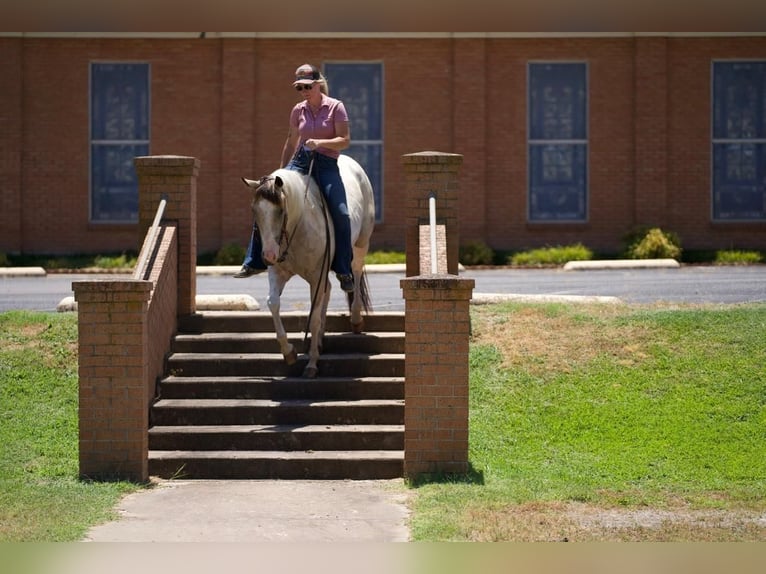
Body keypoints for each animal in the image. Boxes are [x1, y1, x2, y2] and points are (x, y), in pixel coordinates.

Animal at [242, 154, 376, 378]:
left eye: (280, 210)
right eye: (254, 210)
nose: (268, 255)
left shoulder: (316, 275)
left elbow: (313, 318)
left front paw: (312, 364)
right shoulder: (277, 272)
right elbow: (273, 303)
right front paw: (289, 352)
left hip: (361, 243)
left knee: (356, 273)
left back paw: (356, 319)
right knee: (328, 291)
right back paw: (320, 339)